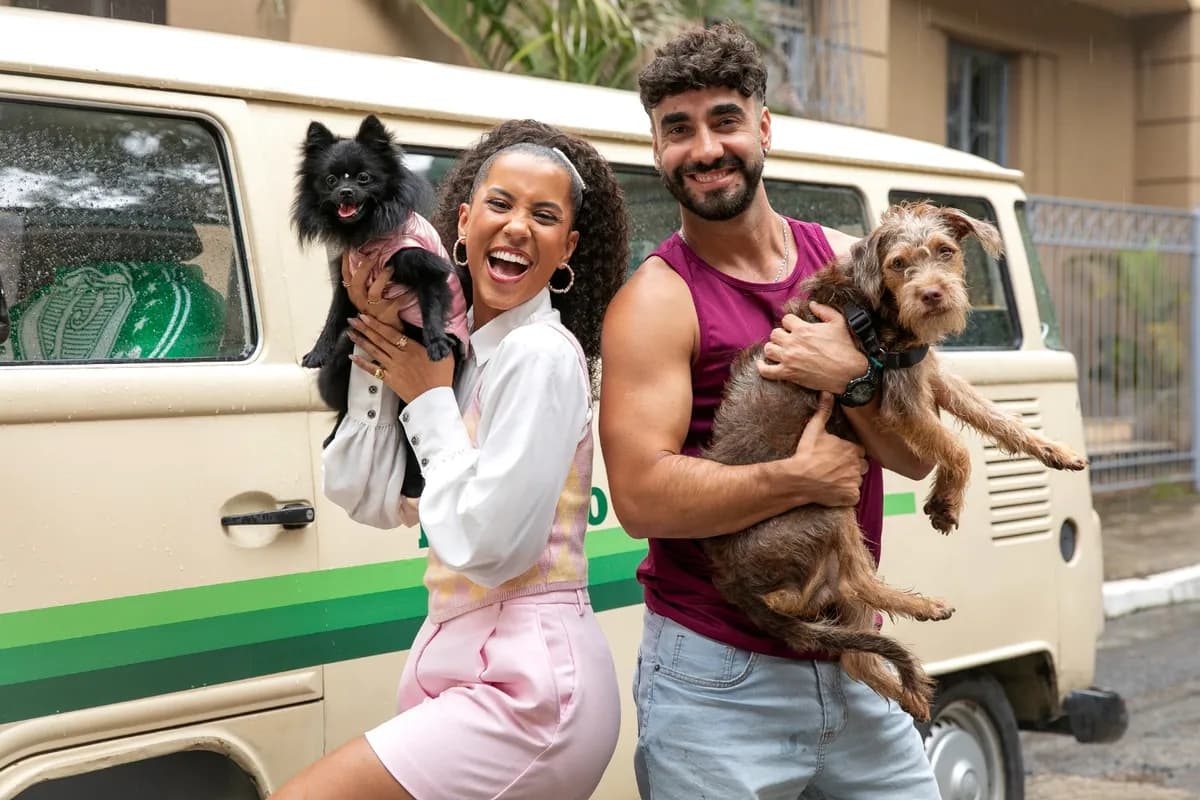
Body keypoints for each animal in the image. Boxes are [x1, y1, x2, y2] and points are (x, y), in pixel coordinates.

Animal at [290, 115, 468, 496]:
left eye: (363, 178)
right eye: (330, 180)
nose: (345, 192)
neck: (369, 234)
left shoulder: (425, 268)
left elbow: (431, 304)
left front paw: (435, 341)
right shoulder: (347, 281)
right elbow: (333, 319)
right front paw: (318, 351)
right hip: (338, 373)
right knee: (343, 410)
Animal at [700, 200, 1089, 719]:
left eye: (945, 251)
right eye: (898, 263)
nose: (932, 295)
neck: (875, 307)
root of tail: (732, 582)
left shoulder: (927, 373)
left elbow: (994, 416)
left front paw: (1053, 450)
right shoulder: (901, 402)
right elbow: (957, 448)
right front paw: (947, 500)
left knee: (852, 652)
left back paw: (913, 696)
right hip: (825, 506)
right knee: (853, 584)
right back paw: (924, 608)